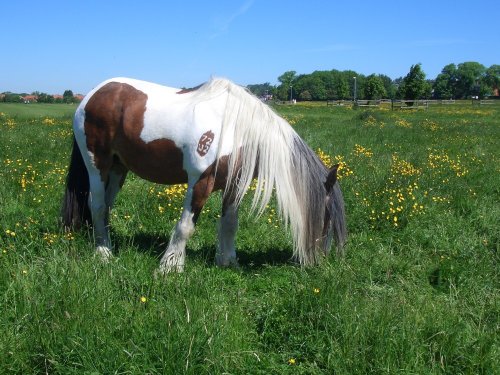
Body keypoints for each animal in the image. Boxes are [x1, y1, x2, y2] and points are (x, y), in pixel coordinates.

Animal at [60, 77, 346, 274]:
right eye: (328, 218)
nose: (320, 262)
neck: (237, 130)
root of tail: (92, 95)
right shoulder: (200, 181)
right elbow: (185, 227)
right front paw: (170, 267)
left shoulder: (234, 186)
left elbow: (230, 224)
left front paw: (228, 261)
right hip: (97, 165)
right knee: (97, 205)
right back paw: (104, 253)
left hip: (119, 169)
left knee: (106, 206)